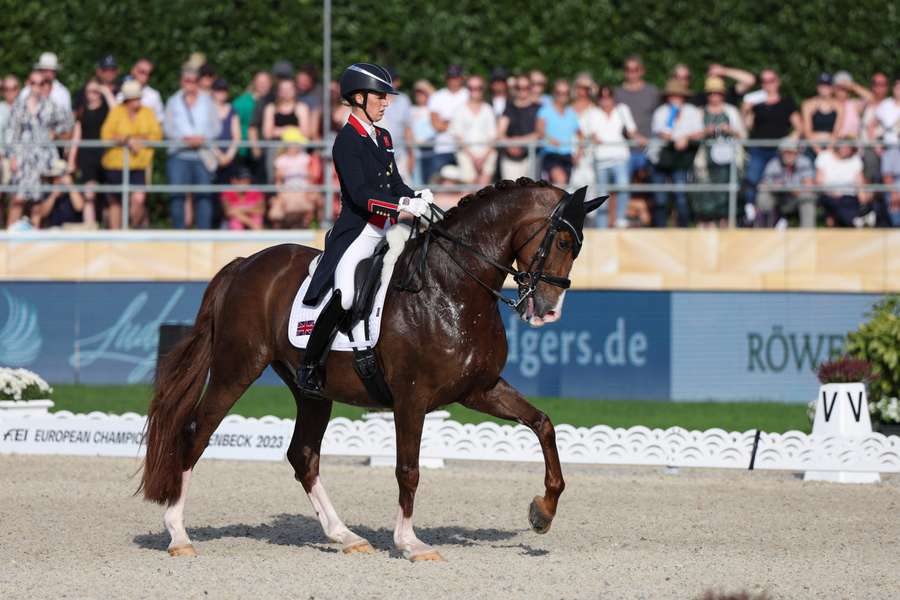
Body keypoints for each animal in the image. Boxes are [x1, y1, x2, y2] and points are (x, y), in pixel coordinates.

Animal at [141, 176, 604, 560]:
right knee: (196, 433)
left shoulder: (480, 389)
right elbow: (408, 470)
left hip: (310, 389)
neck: (452, 287)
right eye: (563, 242)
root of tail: (244, 264)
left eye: (578, 246)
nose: (548, 310)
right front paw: (410, 543)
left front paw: (542, 512)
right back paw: (178, 534)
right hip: (236, 368)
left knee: (303, 455)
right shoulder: (411, 398)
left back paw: (345, 536)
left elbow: (542, 423)